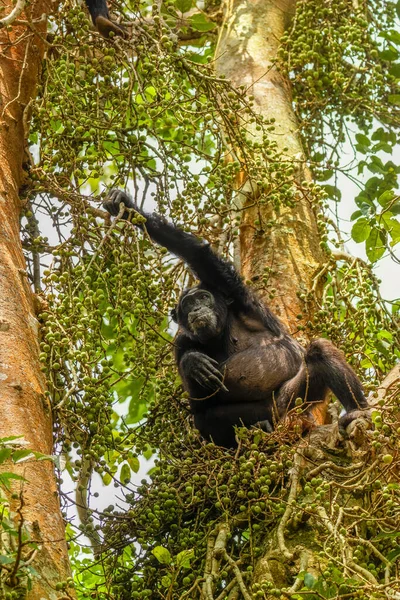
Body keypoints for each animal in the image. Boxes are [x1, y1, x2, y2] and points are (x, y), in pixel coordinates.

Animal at [104, 190, 372, 448]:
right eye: (188, 304)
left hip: (292, 400)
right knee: (204, 419)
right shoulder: (180, 343)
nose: (196, 308)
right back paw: (261, 430)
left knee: (319, 351)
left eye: (203, 297)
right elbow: (198, 400)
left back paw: (357, 412)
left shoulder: (234, 291)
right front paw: (193, 362)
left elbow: (198, 253)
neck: (220, 331)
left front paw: (127, 206)